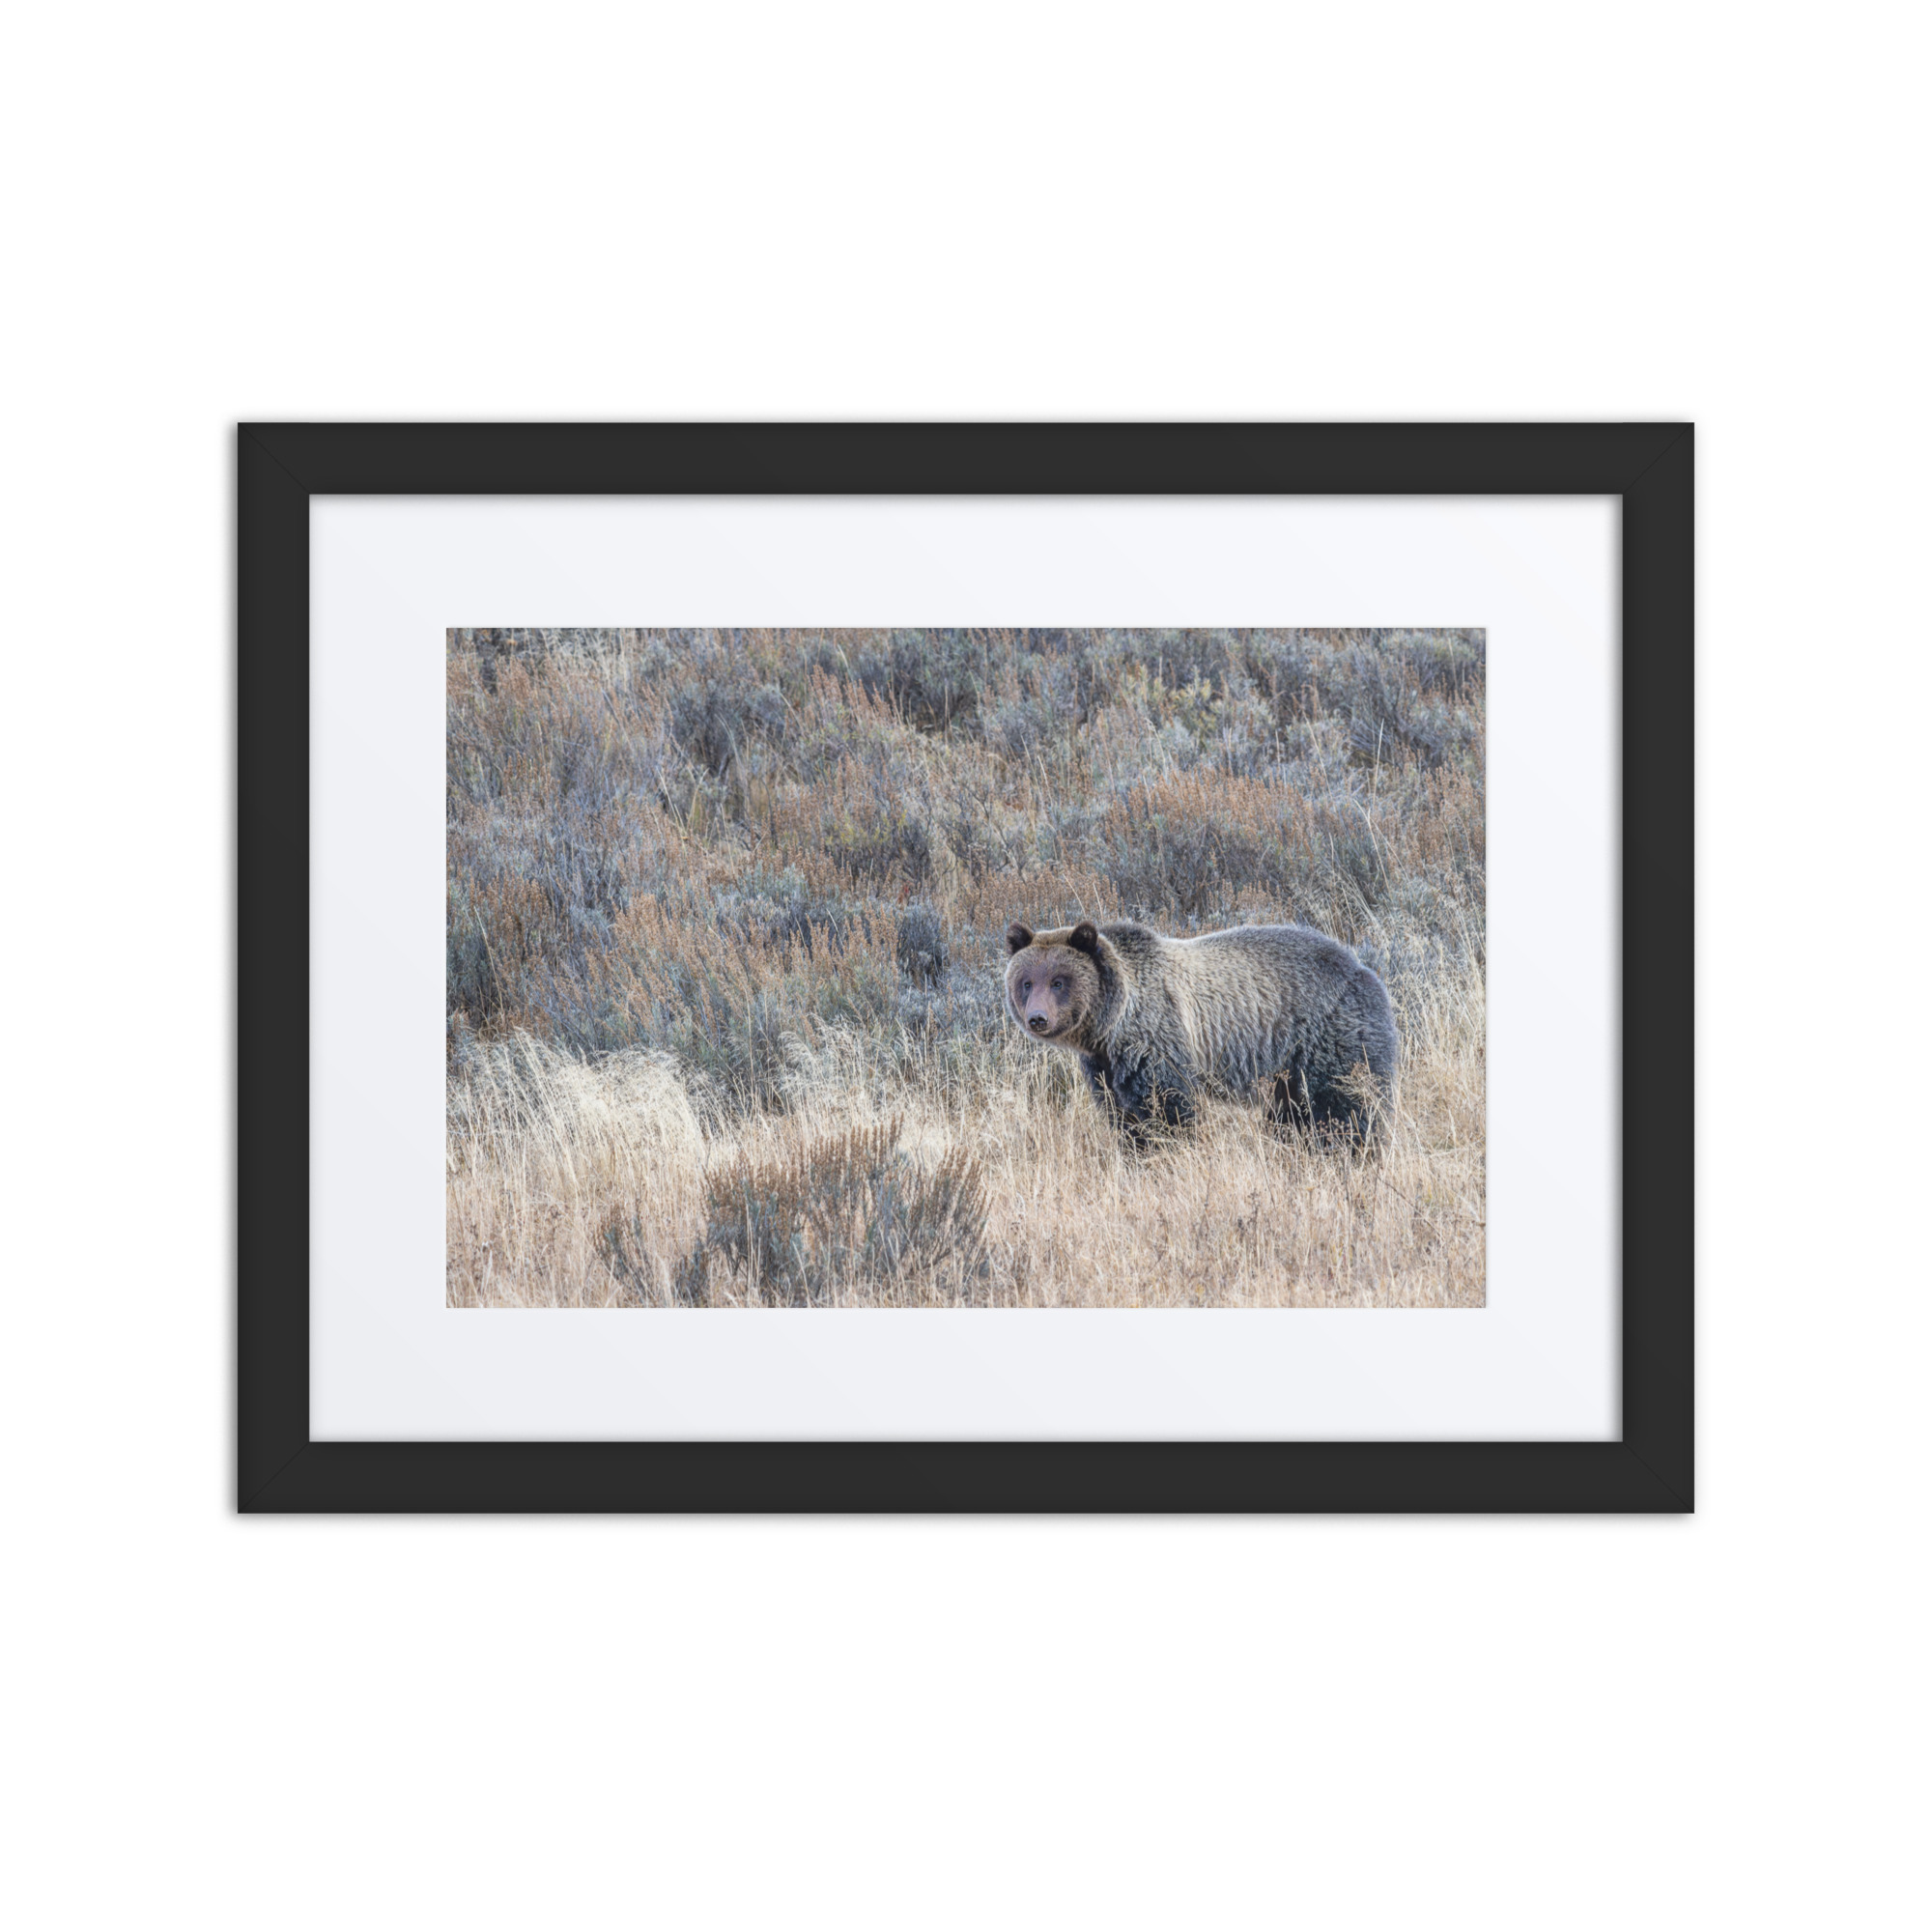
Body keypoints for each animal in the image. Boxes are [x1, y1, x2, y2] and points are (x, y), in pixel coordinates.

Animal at [1003, 917, 1397, 1147]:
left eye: (1059, 981)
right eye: (1026, 982)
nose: (1038, 1018)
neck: (1111, 1026)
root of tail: (1363, 968)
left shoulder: (1158, 1040)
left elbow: (1168, 1110)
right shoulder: (1105, 1067)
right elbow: (1123, 1116)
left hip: (1329, 1036)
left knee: (1345, 1105)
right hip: (1287, 1070)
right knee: (1292, 1114)